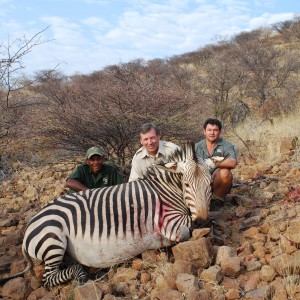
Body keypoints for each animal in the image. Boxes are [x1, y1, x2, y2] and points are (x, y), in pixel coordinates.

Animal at [0, 143, 211, 288]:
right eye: (186, 185)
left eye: (209, 185)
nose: (202, 220)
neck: (166, 190)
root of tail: (28, 229)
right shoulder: (170, 222)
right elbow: (187, 229)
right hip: (53, 241)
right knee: (48, 278)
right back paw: (82, 276)